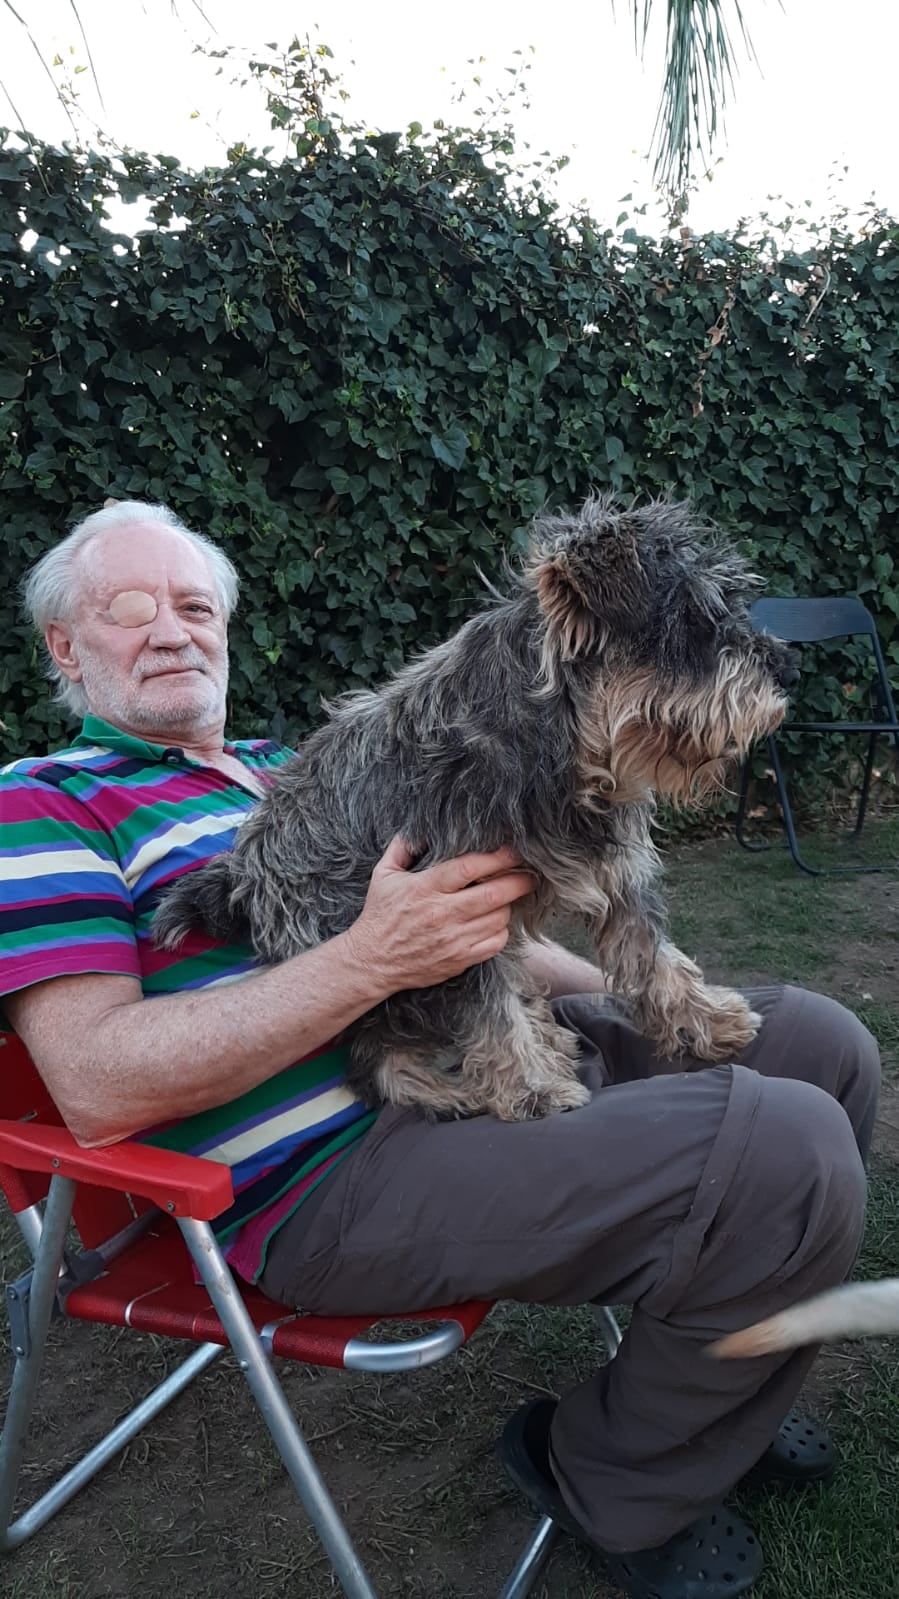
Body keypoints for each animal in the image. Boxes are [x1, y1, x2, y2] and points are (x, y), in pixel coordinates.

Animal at [151, 498, 790, 1125]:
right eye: (695, 618)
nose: (785, 669)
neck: (554, 738)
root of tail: (240, 875)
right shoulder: (451, 914)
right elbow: (488, 1006)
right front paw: (530, 1088)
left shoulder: (617, 876)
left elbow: (654, 956)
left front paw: (707, 1020)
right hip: (367, 969)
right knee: (377, 1058)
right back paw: (450, 1089)